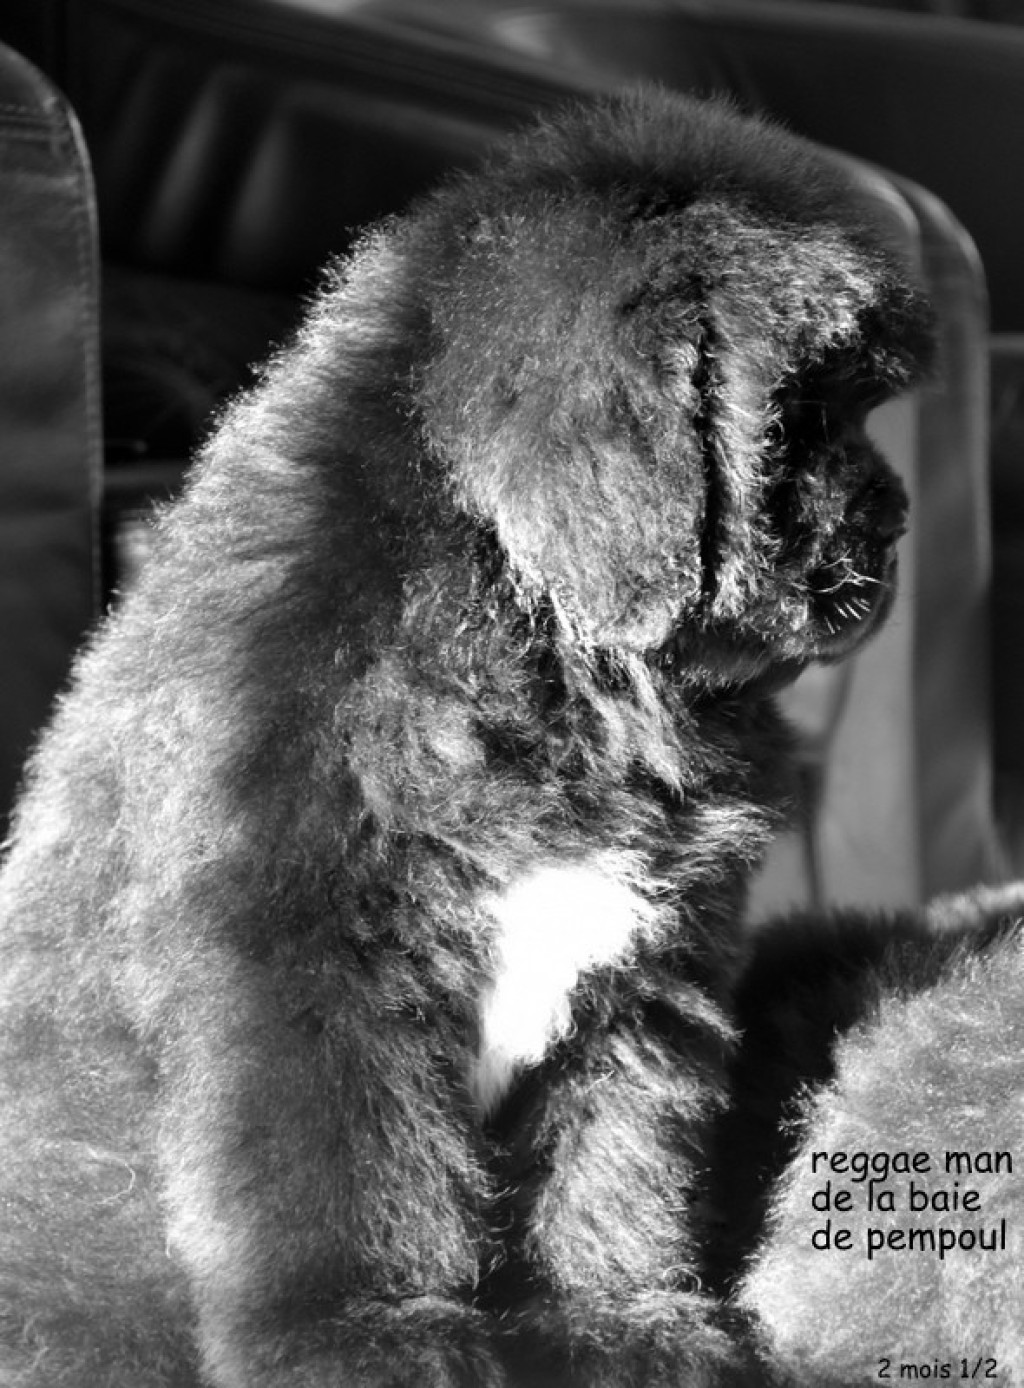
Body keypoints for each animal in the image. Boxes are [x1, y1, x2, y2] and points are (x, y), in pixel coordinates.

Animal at [0, 88, 932, 1387]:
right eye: (803, 414)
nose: (899, 525)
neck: (547, 661)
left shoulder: (641, 971)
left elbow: (613, 1159)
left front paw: (613, 1319)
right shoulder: (307, 963)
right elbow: (347, 1175)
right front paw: (364, 1337)